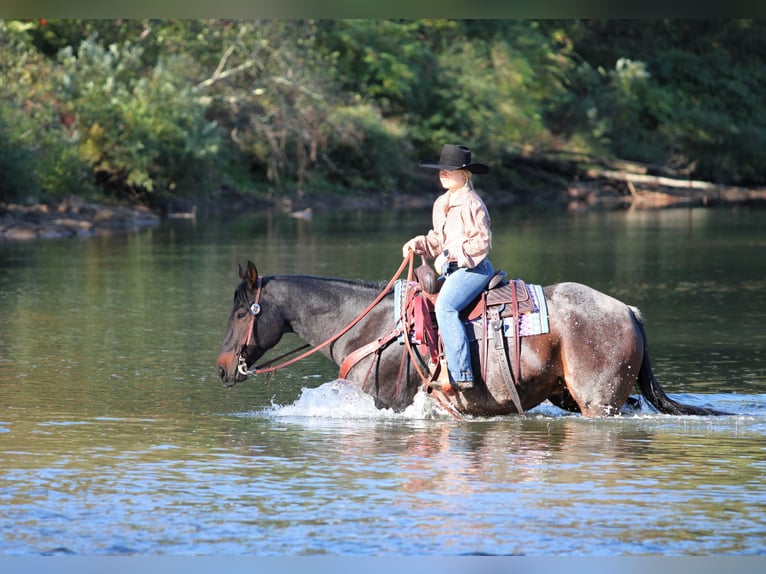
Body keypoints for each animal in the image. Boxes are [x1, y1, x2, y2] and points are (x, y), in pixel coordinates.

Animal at [216, 260, 727, 418]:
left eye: (241, 312)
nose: (222, 368)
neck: (369, 326)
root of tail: (628, 311)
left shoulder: (385, 403)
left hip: (597, 402)